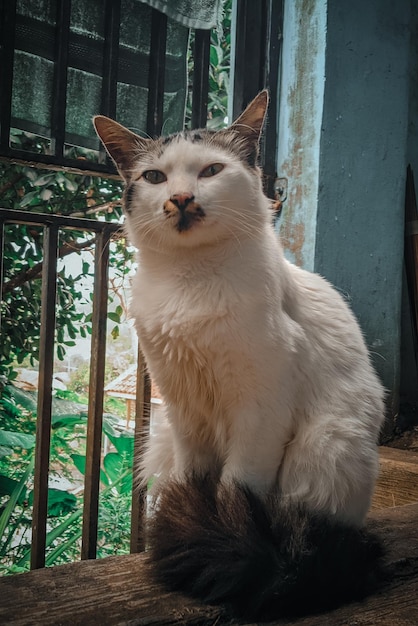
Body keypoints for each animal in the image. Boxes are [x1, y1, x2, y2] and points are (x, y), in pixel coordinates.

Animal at [94, 90, 386, 616]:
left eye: (211, 171)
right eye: (155, 177)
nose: (180, 199)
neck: (191, 281)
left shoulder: (259, 412)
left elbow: (235, 490)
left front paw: (219, 527)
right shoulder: (182, 409)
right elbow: (197, 480)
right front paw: (198, 518)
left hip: (324, 445)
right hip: (163, 436)